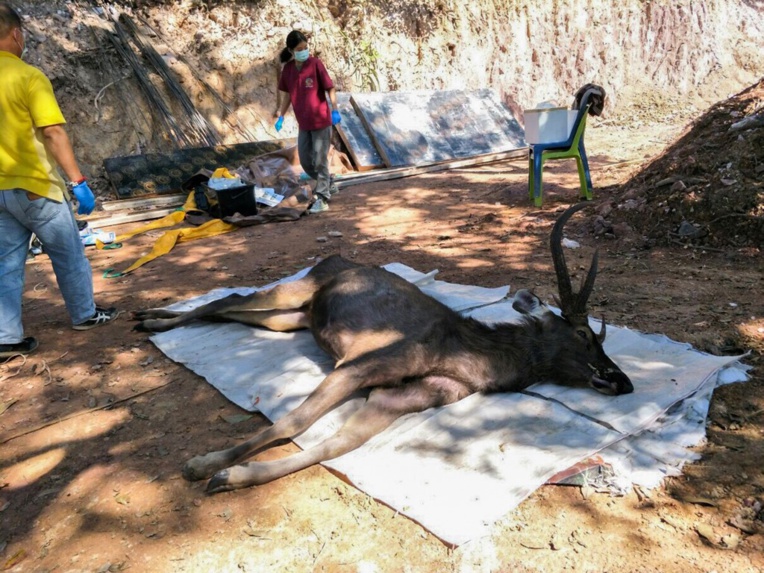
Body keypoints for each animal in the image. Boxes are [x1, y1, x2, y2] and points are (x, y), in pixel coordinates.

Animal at [133, 203, 633, 494]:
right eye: (585, 335)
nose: (622, 381)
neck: (466, 359)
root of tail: (331, 259)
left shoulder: (399, 397)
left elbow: (335, 446)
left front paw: (231, 477)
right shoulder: (358, 365)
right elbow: (293, 422)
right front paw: (203, 464)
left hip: (297, 317)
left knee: (237, 312)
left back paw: (153, 319)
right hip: (299, 286)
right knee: (229, 297)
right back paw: (149, 318)